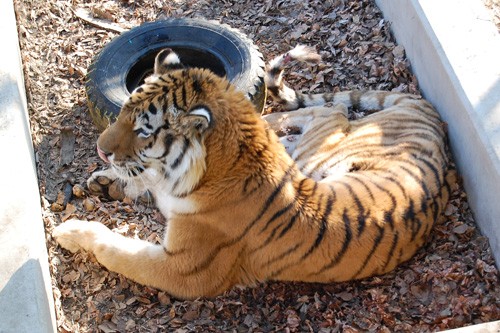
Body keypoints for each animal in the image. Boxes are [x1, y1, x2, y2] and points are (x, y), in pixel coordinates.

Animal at [53, 46, 458, 298]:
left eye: (143, 130)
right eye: (122, 111)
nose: (100, 150)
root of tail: (429, 113)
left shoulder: (183, 270)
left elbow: (115, 248)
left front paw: (71, 231)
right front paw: (106, 183)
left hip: (321, 153)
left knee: (333, 112)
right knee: (317, 112)